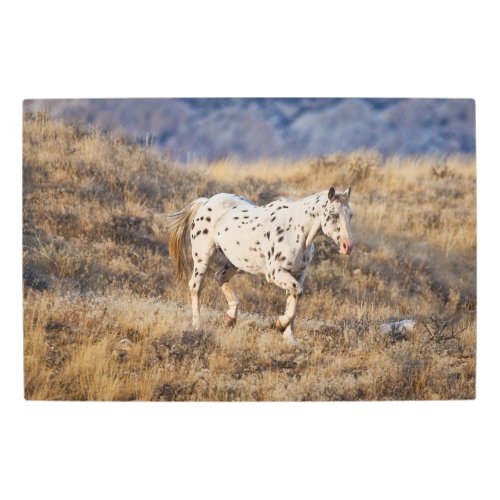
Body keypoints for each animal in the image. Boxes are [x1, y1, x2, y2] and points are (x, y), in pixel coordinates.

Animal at [166, 187, 354, 344]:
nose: (348, 246)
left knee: (220, 276)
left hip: (234, 261)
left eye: (350, 215)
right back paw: (198, 326)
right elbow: (296, 296)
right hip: (203, 257)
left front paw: (289, 338)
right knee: (195, 287)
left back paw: (230, 318)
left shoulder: (298, 274)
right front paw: (279, 325)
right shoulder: (275, 273)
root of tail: (206, 202)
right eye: (333, 214)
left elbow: (293, 299)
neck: (296, 230)